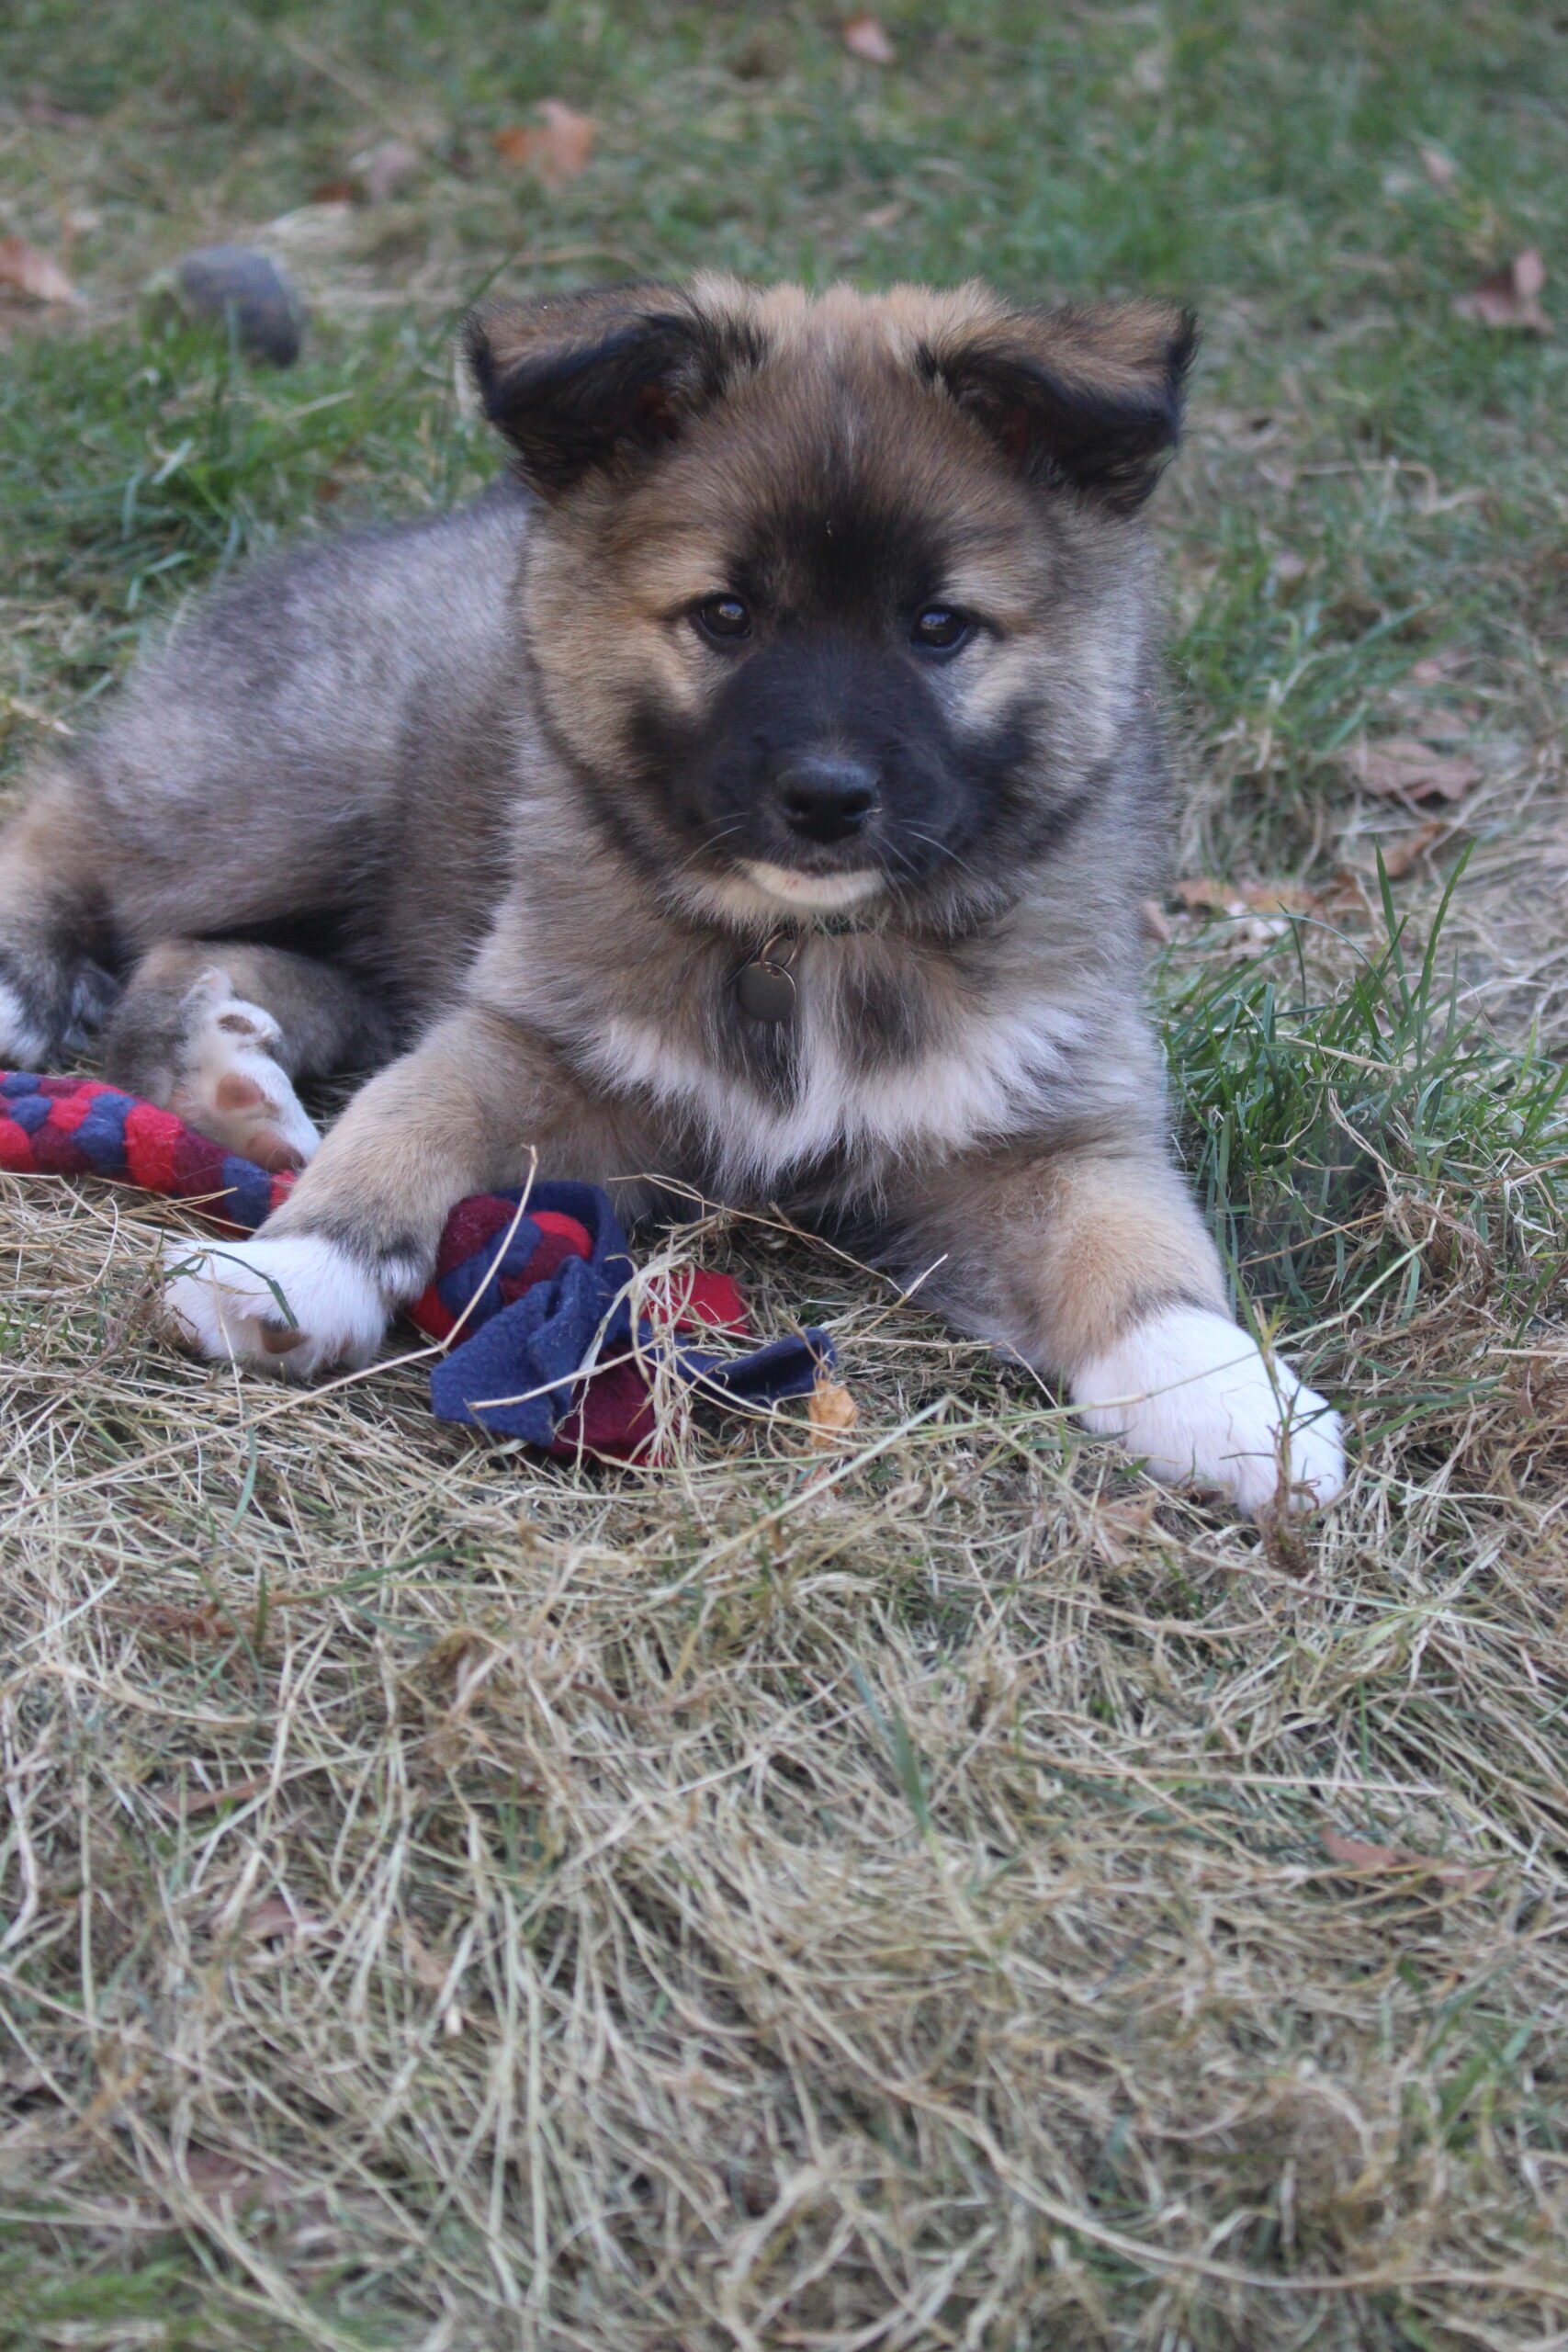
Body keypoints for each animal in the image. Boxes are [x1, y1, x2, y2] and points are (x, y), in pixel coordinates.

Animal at [0, 275, 1344, 1516]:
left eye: (937, 625)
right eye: (726, 614)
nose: (826, 796)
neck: (806, 949)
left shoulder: (1040, 1127)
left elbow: (1133, 1237)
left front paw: (1220, 1388)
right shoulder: (533, 1047)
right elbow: (406, 1118)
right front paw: (297, 1267)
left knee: (195, 962)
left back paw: (235, 1083)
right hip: (290, 787)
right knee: (74, 825)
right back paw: (40, 983)